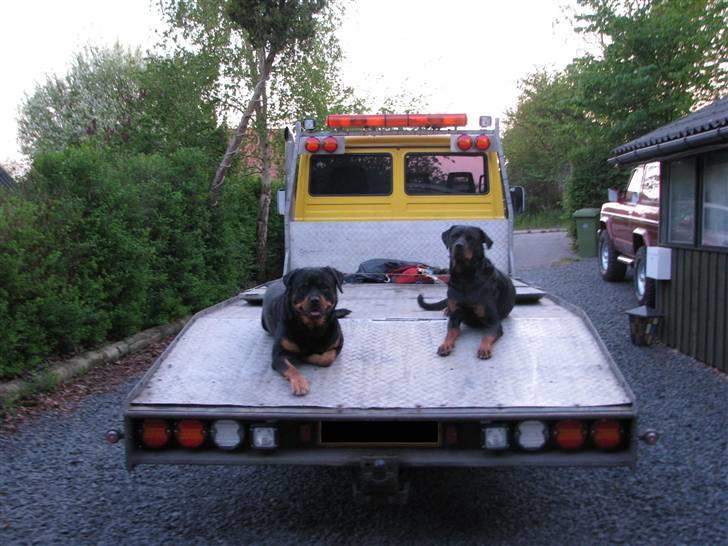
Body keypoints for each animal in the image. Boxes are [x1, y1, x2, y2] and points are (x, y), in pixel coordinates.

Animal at [262, 266, 350, 394]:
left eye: (324, 287)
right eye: (303, 288)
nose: (314, 300)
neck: (312, 328)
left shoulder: (338, 344)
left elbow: (327, 358)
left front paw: (305, 356)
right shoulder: (278, 355)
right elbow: (291, 369)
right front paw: (299, 383)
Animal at [418, 223, 516, 360]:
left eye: (471, 238)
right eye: (454, 236)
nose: (458, 245)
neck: (465, 277)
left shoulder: (494, 323)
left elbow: (487, 336)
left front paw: (484, 348)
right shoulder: (454, 318)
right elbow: (450, 333)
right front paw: (445, 345)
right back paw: (447, 310)